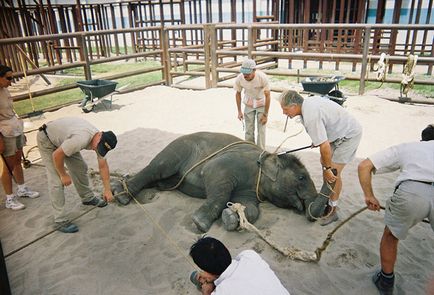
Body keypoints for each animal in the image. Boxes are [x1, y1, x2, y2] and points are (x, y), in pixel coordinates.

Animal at [112, 133, 328, 232]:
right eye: (302, 177)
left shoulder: (252, 189)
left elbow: (251, 209)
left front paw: (230, 217)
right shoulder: (232, 163)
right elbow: (217, 178)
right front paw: (200, 223)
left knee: (158, 180)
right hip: (178, 148)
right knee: (156, 168)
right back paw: (120, 194)